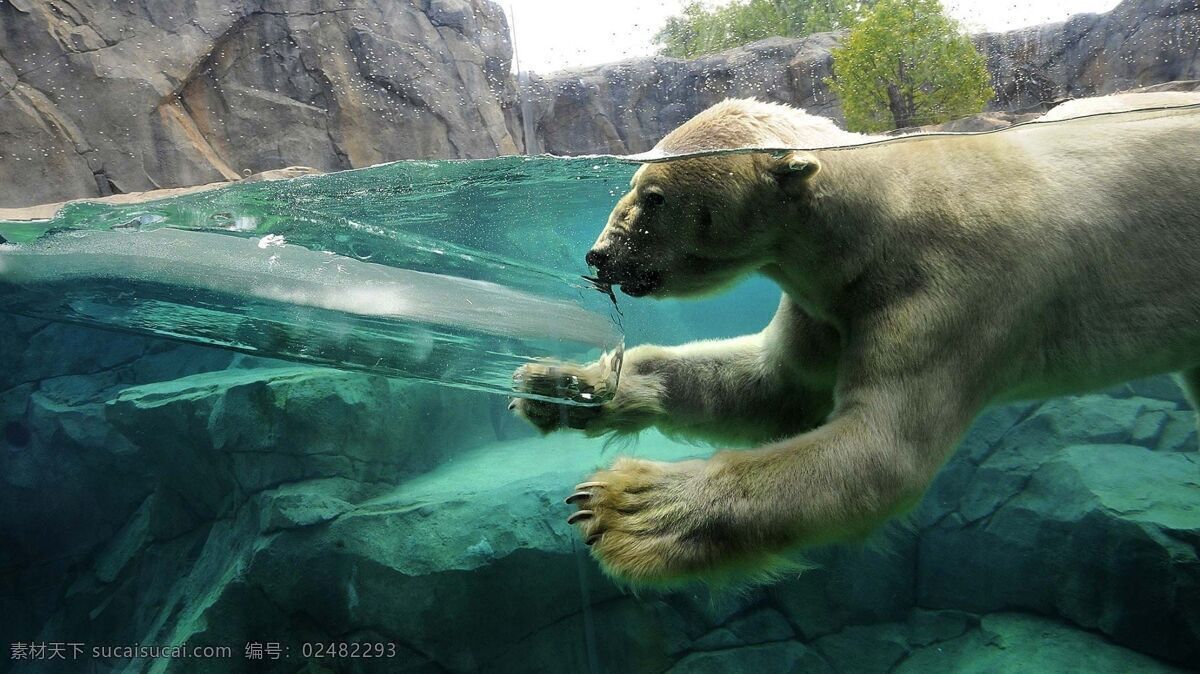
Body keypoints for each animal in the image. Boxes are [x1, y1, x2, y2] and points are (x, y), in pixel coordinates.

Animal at [512, 96, 1200, 585]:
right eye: (634, 186)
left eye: (654, 196)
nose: (600, 255)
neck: (876, 224)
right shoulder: (828, 303)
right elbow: (772, 384)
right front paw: (559, 385)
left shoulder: (945, 294)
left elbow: (879, 450)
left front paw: (624, 506)